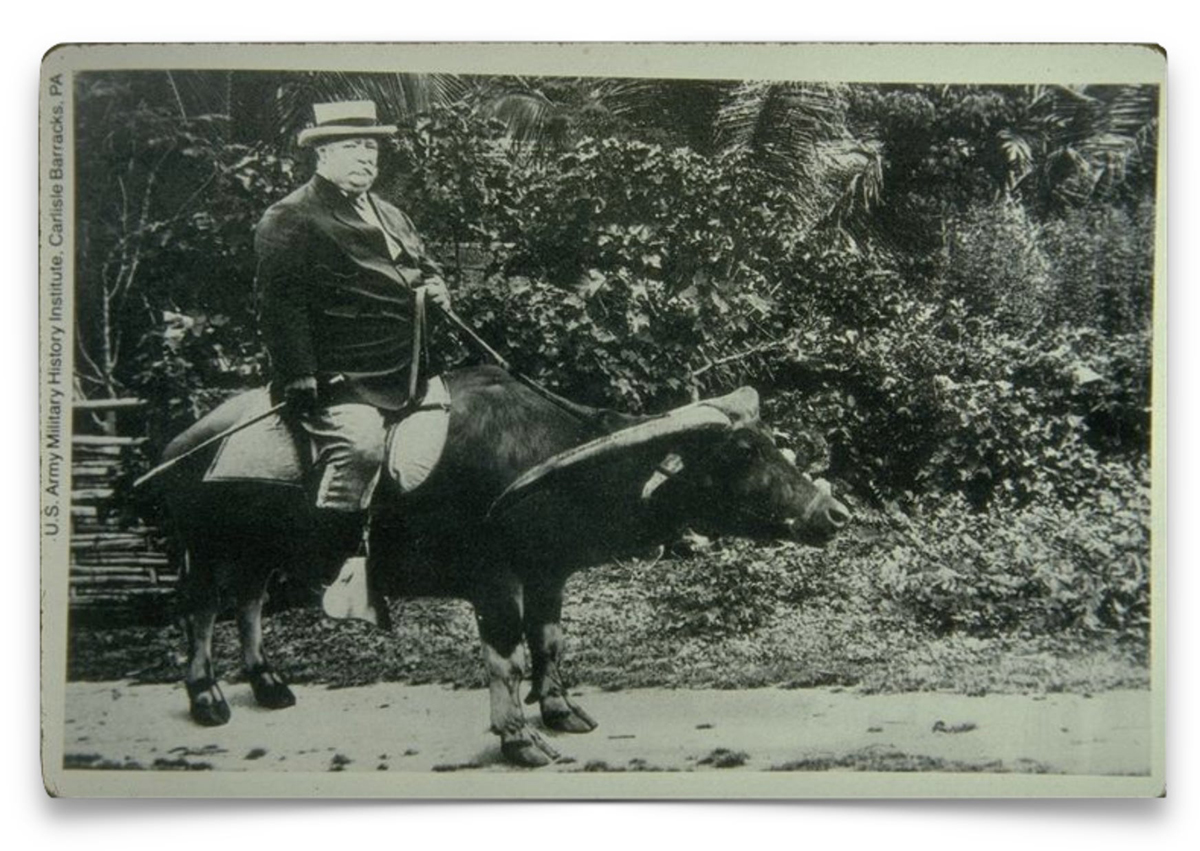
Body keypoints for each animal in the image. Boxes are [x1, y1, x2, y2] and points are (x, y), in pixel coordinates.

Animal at [160, 365, 850, 767]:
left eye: (770, 442)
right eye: (740, 451)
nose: (833, 512)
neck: (543, 459)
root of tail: (186, 439)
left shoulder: (548, 573)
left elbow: (548, 641)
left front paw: (560, 711)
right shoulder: (493, 581)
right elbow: (506, 657)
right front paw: (519, 737)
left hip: (260, 548)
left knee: (249, 600)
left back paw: (268, 683)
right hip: (210, 542)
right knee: (201, 607)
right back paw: (208, 695)